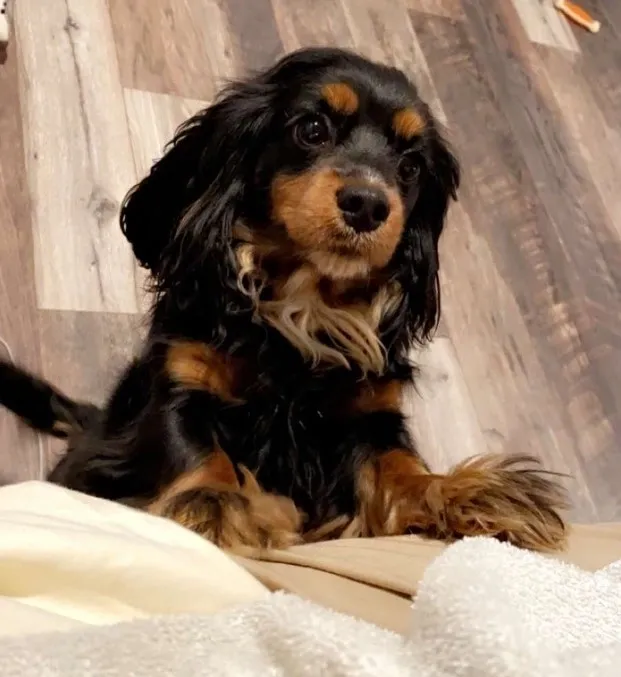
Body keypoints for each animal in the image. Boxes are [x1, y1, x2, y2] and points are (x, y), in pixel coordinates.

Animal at [0, 50, 568, 552]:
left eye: (410, 167)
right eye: (312, 130)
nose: (368, 204)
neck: (304, 304)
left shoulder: (370, 417)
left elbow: (399, 465)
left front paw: (460, 492)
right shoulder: (182, 382)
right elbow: (194, 449)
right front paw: (217, 504)